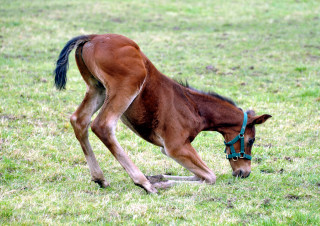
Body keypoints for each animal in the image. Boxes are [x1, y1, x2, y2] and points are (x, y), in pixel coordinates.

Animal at [53, 33, 272, 192]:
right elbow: (210, 176)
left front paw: (158, 177)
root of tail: (92, 37)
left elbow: (199, 175)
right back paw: (142, 182)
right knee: (102, 125)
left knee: (79, 120)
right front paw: (158, 182)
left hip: (97, 88)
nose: (244, 172)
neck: (195, 108)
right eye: (251, 140)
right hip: (128, 85)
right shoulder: (176, 146)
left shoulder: (169, 150)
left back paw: (100, 178)